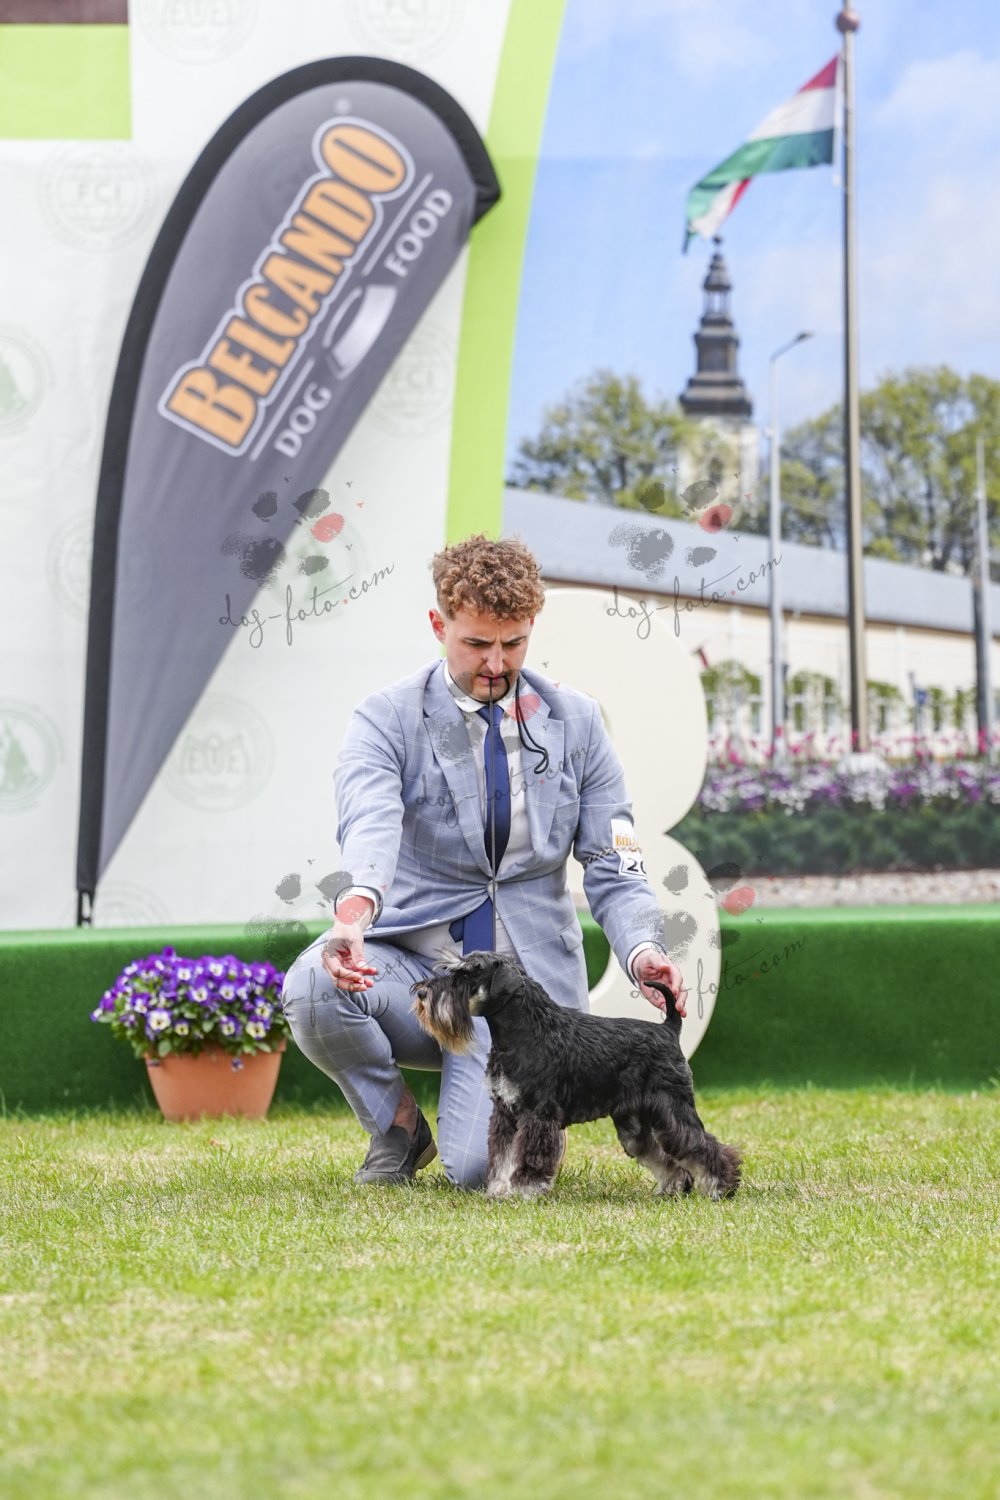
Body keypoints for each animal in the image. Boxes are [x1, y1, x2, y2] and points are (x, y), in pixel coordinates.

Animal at [411, 950, 741, 1201]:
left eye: (467, 975)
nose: (423, 992)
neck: (523, 1031)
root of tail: (669, 1029)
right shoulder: (504, 1113)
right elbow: (503, 1158)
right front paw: (498, 1191)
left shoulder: (537, 1114)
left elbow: (528, 1156)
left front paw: (524, 1191)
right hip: (634, 1124)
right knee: (661, 1154)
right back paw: (673, 1187)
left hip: (673, 1109)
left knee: (702, 1145)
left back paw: (722, 1187)